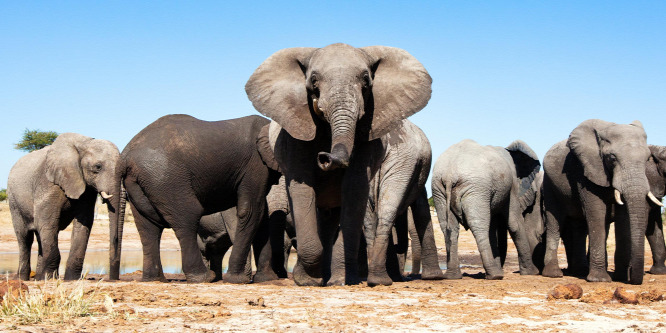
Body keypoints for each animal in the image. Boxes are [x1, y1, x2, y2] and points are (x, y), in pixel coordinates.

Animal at [7, 132, 120, 280]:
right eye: (98, 167)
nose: (114, 278)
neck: (84, 143)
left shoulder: (86, 189)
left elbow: (83, 224)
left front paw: (71, 279)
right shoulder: (48, 183)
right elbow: (47, 223)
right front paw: (49, 278)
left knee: (40, 236)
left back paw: (39, 278)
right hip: (14, 200)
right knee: (25, 237)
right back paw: (24, 278)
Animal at [113, 114, 278, 282]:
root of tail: (124, 156)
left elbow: (262, 215)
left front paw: (267, 279)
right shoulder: (256, 164)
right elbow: (251, 210)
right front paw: (238, 280)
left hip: (141, 182)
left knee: (148, 227)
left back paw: (155, 279)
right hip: (165, 178)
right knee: (187, 217)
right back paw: (205, 277)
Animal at [246, 42, 434, 286]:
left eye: (366, 80)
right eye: (314, 80)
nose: (324, 157)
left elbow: (354, 188)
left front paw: (338, 281)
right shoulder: (294, 133)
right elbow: (303, 188)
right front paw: (308, 280)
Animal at [430, 139, 540, 278]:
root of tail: (449, 174)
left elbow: (493, 227)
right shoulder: (512, 187)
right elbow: (515, 224)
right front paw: (531, 273)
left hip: (439, 190)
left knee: (449, 228)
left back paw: (452, 276)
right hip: (476, 189)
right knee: (479, 226)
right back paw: (495, 275)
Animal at [540, 118, 660, 284]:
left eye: (647, 159)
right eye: (612, 158)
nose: (633, 276)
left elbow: (623, 219)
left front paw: (620, 278)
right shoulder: (586, 170)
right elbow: (597, 214)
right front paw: (600, 279)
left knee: (579, 227)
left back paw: (580, 271)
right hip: (549, 184)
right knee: (555, 221)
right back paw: (554, 274)